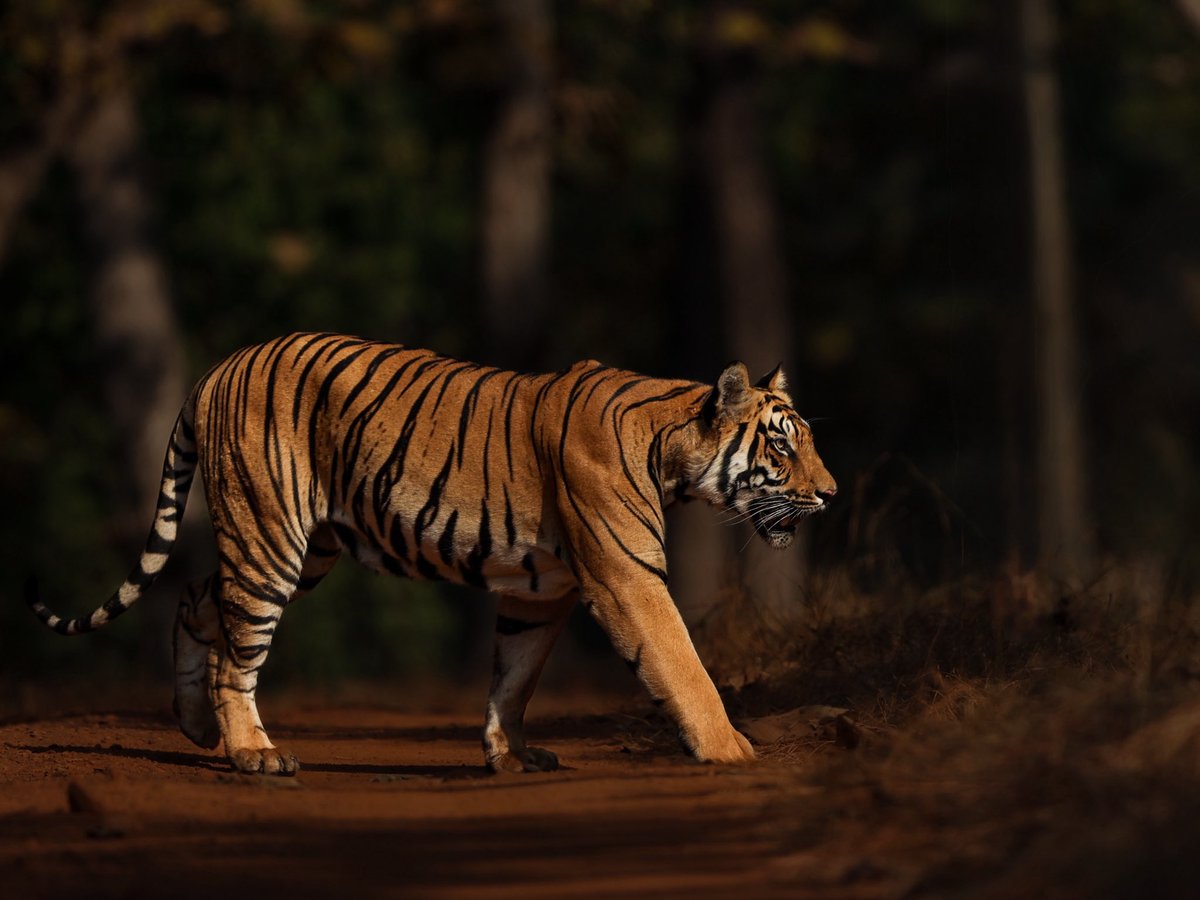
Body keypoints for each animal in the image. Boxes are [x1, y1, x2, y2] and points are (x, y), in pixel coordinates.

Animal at [26, 332, 836, 775]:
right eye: (780, 446)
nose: (830, 494)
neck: (672, 449)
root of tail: (216, 369)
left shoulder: (541, 589)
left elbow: (514, 675)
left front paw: (508, 755)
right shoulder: (626, 577)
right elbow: (683, 665)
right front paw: (730, 749)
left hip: (305, 545)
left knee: (200, 601)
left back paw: (198, 727)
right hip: (271, 536)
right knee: (236, 648)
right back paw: (253, 752)